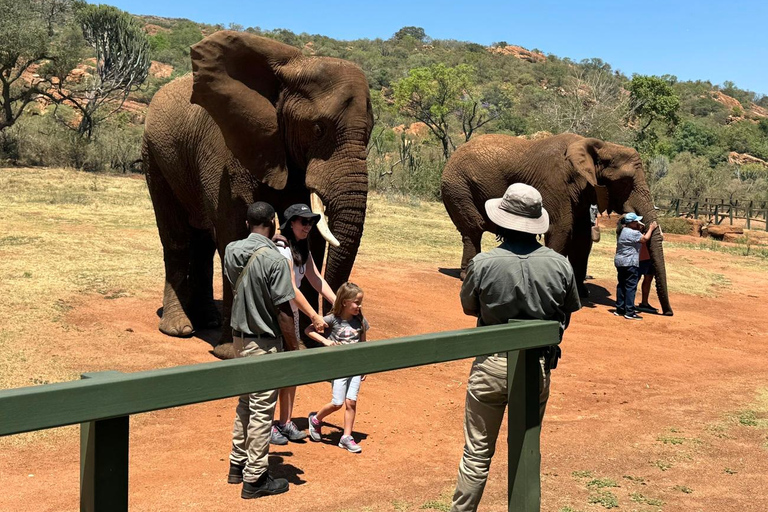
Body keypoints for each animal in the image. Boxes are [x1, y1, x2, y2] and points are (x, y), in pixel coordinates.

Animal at [144, 29, 376, 356]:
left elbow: (313, 238)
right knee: (176, 237)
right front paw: (229, 351)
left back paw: (209, 321)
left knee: (203, 239)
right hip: (155, 155)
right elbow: (234, 228)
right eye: (318, 129)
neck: (293, 69)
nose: (335, 318)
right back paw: (180, 328)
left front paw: (307, 342)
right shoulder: (229, 148)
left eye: (370, 133)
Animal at [444, 132, 672, 316]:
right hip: (458, 187)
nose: (667, 313)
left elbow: (582, 238)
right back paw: (465, 275)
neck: (600, 145)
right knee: (473, 229)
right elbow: (561, 230)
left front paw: (581, 292)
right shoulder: (555, 183)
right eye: (625, 182)